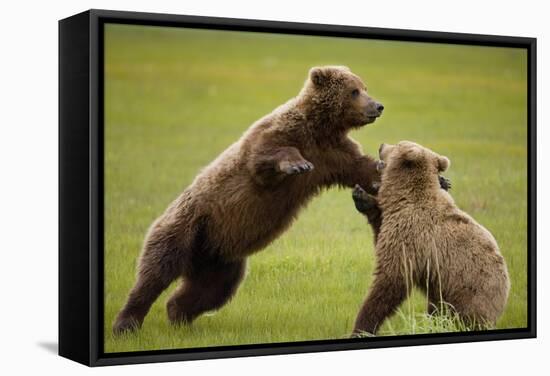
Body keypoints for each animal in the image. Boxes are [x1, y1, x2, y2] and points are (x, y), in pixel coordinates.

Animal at [113, 66, 388, 334]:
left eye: (364, 87)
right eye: (354, 91)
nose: (378, 106)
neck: (320, 128)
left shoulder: (333, 154)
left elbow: (360, 167)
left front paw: (382, 169)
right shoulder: (280, 136)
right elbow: (265, 158)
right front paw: (297, 164)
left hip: (219, 258)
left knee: (210, 290)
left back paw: (178, 316)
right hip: (186, 226)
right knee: (156, 271)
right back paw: (126, 323)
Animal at [352, 141, 512, 334]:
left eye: (398, 143)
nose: (382, 145)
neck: (404, 197)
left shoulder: (411, 236)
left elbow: (391, 280)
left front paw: (362, 326)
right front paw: (362, 197)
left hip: (469, 292)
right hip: (442, 293)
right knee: (437, 311)